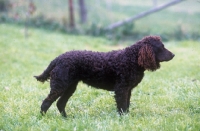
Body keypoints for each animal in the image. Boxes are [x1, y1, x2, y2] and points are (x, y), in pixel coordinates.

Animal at [35, 35, 174, 116]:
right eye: (161, 47)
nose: (173, 55)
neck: (132, 59)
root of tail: (58, 59)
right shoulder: (121, 89)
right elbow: (122, 106)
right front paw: (123, 119)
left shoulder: (128, 89)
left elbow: (126, 106)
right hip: (60, 85)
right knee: (46, 102)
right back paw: (43, 118)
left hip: (69, 86)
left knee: (60, 103)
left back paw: (66, 119)